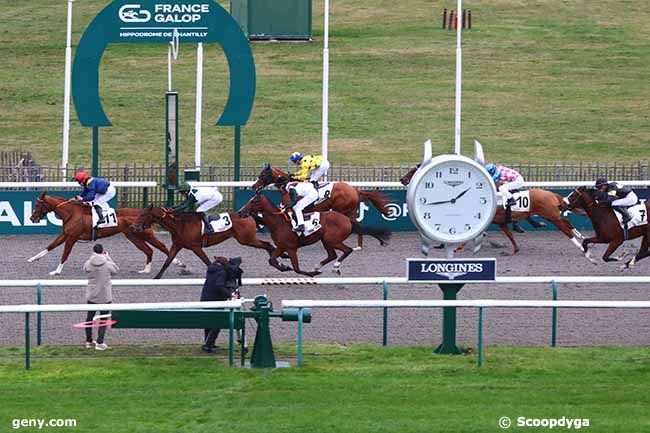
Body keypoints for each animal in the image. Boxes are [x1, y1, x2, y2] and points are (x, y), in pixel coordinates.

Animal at [27, 192, 176, 274]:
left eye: (38, 205)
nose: (32, 218)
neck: (71, 213)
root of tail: (143, 213)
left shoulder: (72, 237)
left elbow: (65, 254)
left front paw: (57, 271)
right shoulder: (65, 234)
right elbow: (50, 246)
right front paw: (33, 258)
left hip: (145, 234)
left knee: (161, 246)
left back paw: (178, 263)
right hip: (133, 236)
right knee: (148, 250)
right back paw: (146, 270)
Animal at [134, 207, 278, 280]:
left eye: (142, 215)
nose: (134, 227)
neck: (180, 224)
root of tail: (248, 215)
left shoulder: (196, 247)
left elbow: (208, 262)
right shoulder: (176, 245)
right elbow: (167, 261)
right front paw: (157, 277)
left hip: (246, 239)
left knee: (267, 244)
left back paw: (277, 261)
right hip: (246, 239)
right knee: (267, 244)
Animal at [238, 192, 390, 276]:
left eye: (254, 201)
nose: (240, 212)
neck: (279, 223)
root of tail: (347, 219)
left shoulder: (291, 248)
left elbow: (297, 269)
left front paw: (311, 274)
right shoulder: (281, 247)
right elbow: (271, 260)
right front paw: (284, 266)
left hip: (332, 240)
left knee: (347, 250)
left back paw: (335, 267)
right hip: (325, 240)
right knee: (332, 255)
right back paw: (318, 266)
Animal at [251, 164, 388, 248]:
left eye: (263, 175)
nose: (253, 186)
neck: (288, 185)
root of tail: (355, 190)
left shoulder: (296, 207)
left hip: (342, 210)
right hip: (351, 211)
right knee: (357, 225)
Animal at [400, 165, 584, 253]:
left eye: (413, 170)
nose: (402, 179)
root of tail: (551, 194)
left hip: (550, 214)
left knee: (564, 224)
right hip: (550, 214)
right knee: (565, 221)